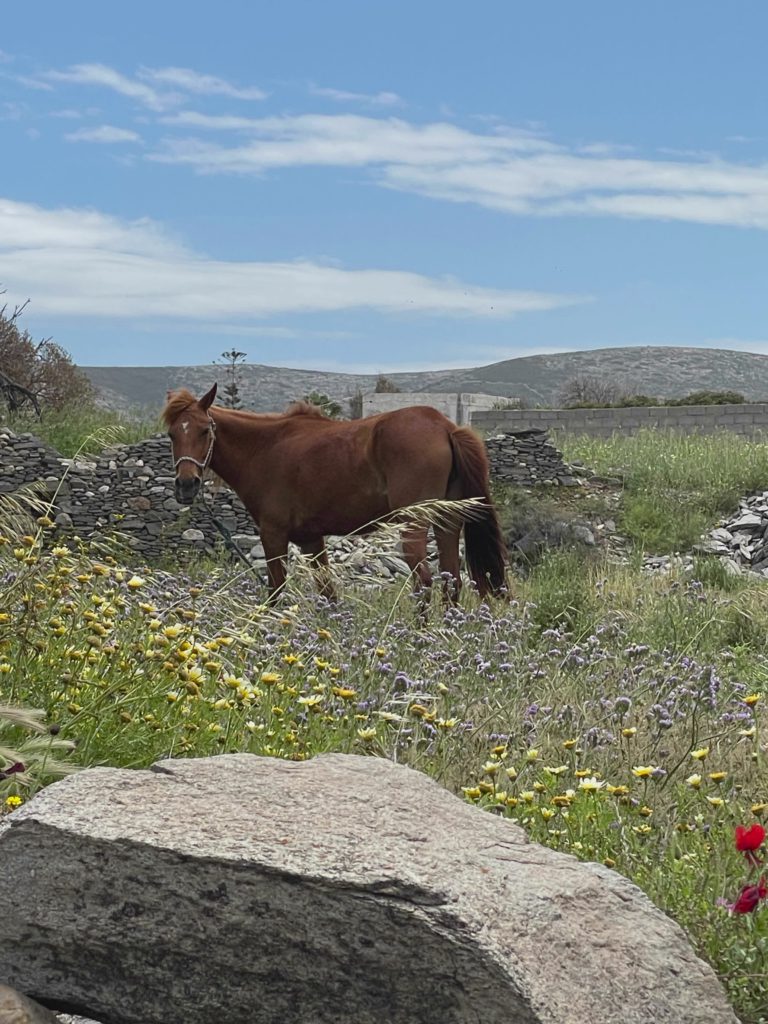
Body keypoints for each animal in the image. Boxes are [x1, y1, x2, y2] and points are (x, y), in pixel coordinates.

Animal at [163, 383, 508, 604]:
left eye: (204, 431)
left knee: (424, 582)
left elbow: (275, 591)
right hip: (447, 522)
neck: (265, 447)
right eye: (172, 434)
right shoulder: (310, 540)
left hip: (414, 525)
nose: (186, 485)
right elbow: (328, 594)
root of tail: (445, 426)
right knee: (452, 582)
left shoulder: (273, 535)